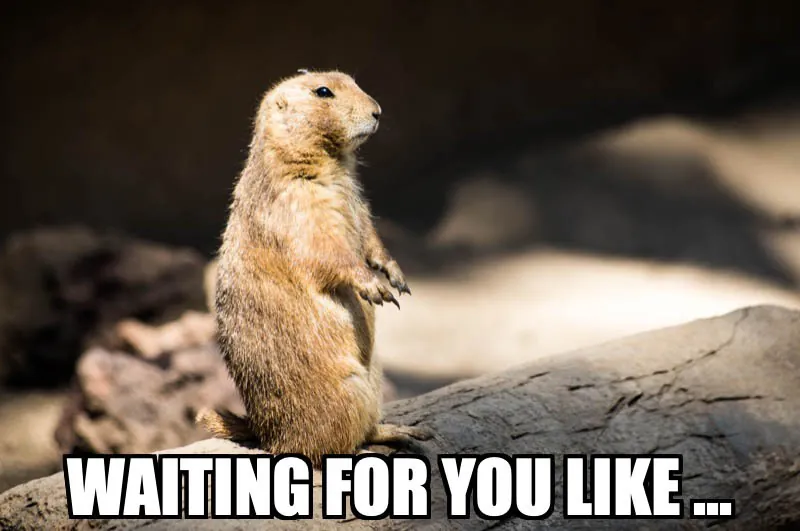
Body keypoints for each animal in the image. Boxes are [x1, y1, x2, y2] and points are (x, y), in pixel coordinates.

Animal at [197, 70, 430, 465]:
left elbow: (370, 236)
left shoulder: (359, 205)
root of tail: (267, 435)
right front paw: (375, 286)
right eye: (323, 92)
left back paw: (405, 431)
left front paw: (396, 276)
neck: (333, 166)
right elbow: (329, 253)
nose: (378, 111)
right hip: (345, 394)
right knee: (329, 446)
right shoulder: (297, 208)